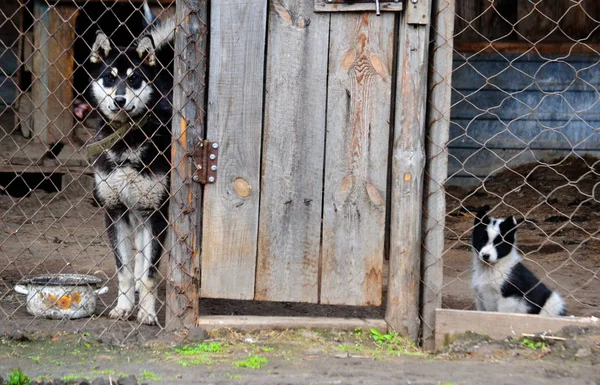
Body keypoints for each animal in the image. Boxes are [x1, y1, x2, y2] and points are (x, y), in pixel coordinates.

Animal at [86, 18, 176, 324]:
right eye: (110, 77)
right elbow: (123, 269)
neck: (127, 141)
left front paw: (147, 313)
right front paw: (124, 307)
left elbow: (150, 273)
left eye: (134, 77)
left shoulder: (155, 212)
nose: (120, 101)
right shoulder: (115, 210)